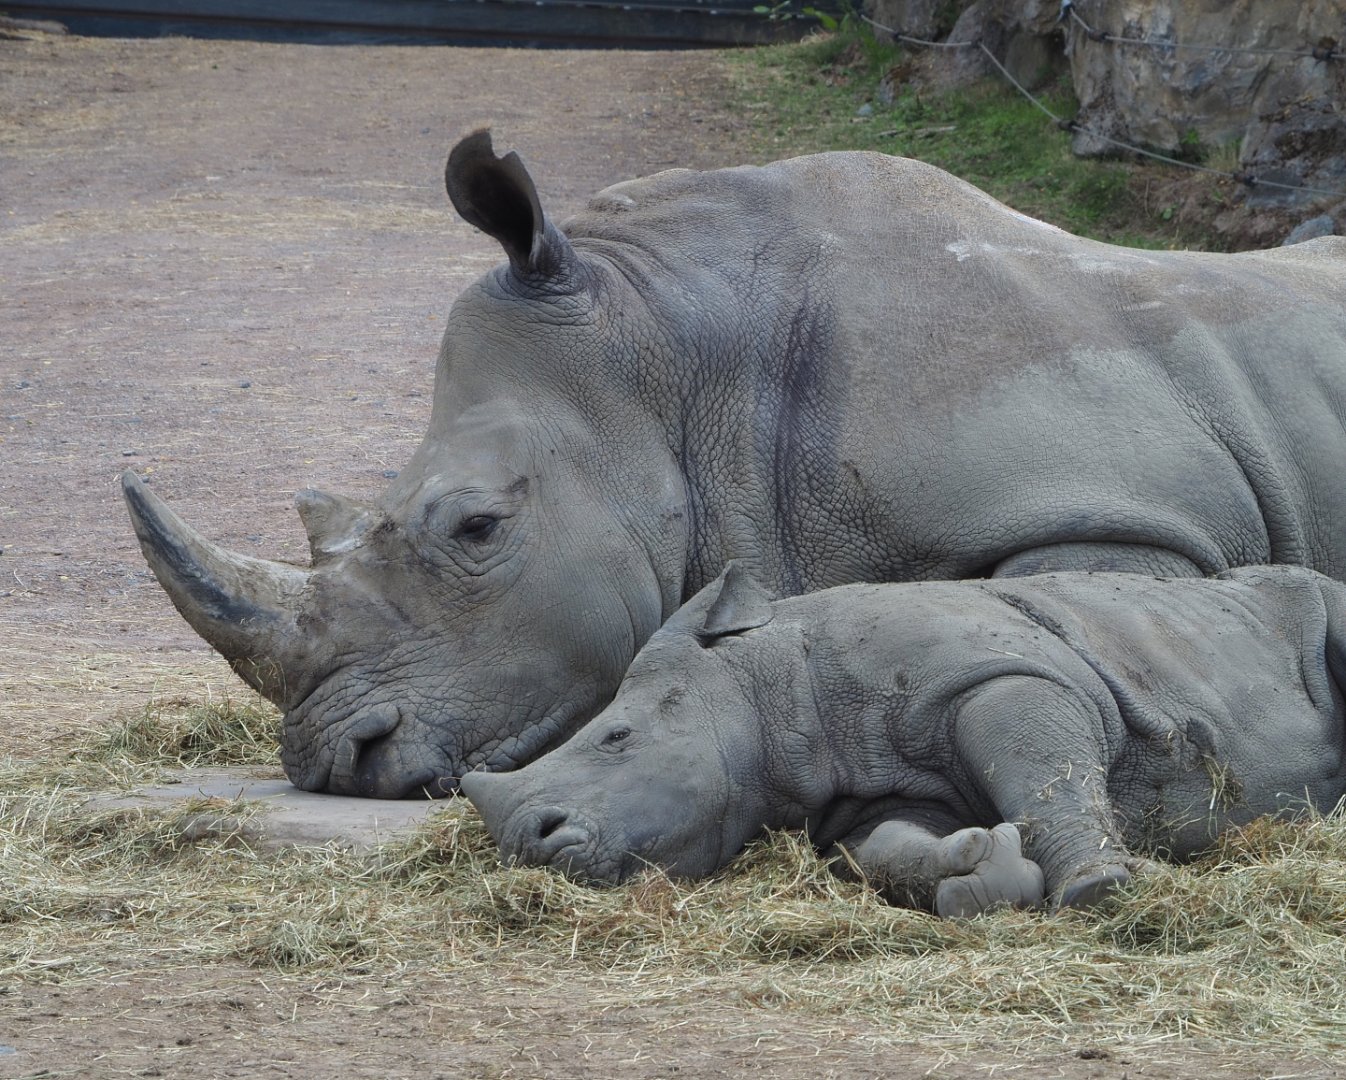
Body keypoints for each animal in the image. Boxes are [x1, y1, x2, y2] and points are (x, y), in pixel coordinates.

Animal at [462, 563, 1346, 915]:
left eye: (615, 736)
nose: (529, 843)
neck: (778, 676)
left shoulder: (1004, 674)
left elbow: (1046, 773)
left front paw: (1099, 888)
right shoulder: (868, 795)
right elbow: (887, 849)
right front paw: (982, 875)